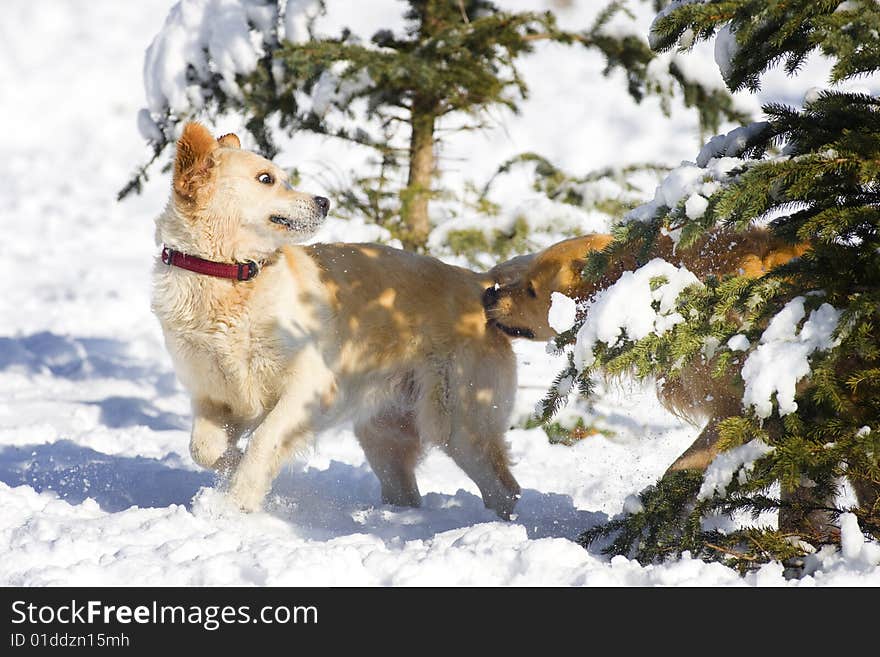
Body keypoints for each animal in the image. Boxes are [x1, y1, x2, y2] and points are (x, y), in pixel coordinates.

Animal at [154, 123, 520, 516]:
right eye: (266, 179)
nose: (324, 202)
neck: (230, 276)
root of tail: (478, 283)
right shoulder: (213, 395)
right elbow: (203, 449)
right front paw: (232, 466)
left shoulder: (311, 384)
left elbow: (264, 437)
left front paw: (237, 501)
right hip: (385, 435)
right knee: (408, 490)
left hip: (461, 424)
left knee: (506, 489)